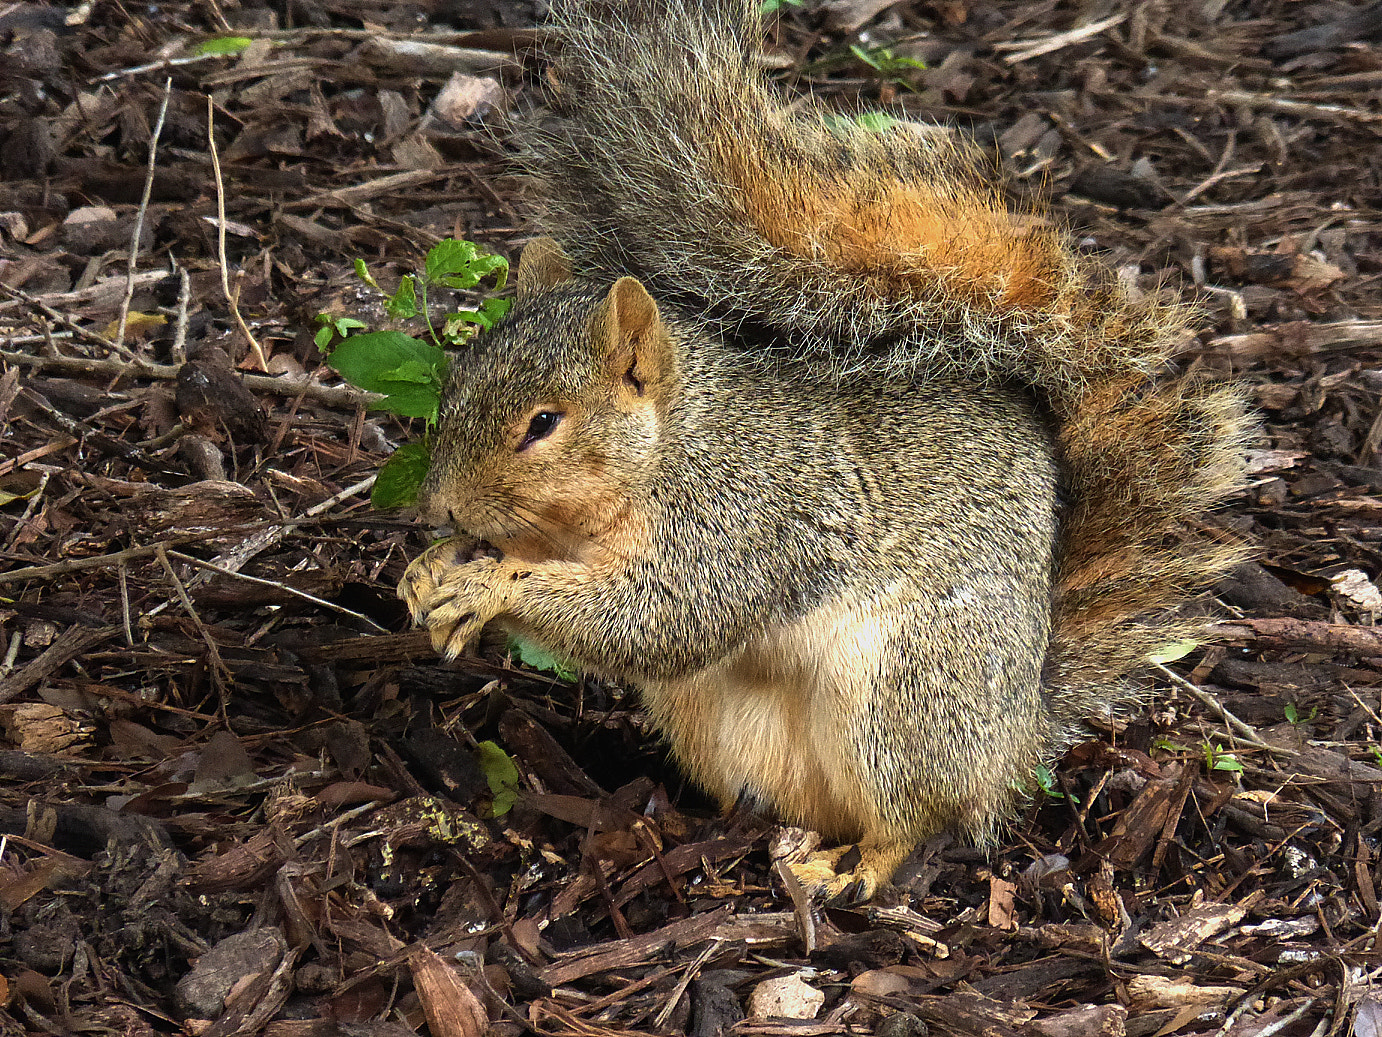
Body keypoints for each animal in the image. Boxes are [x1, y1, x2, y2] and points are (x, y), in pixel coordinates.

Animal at [398, 0, 1254, 901]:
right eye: (459, 380)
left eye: (543, 422)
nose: (438, 505)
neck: (666, 451)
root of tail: (1016, 737)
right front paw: (429, 570)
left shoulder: (745, 516)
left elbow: (664, 615)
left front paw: (487, 583)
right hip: (714, 719)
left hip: (906, 698)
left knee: (913, 816)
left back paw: (853, 871)